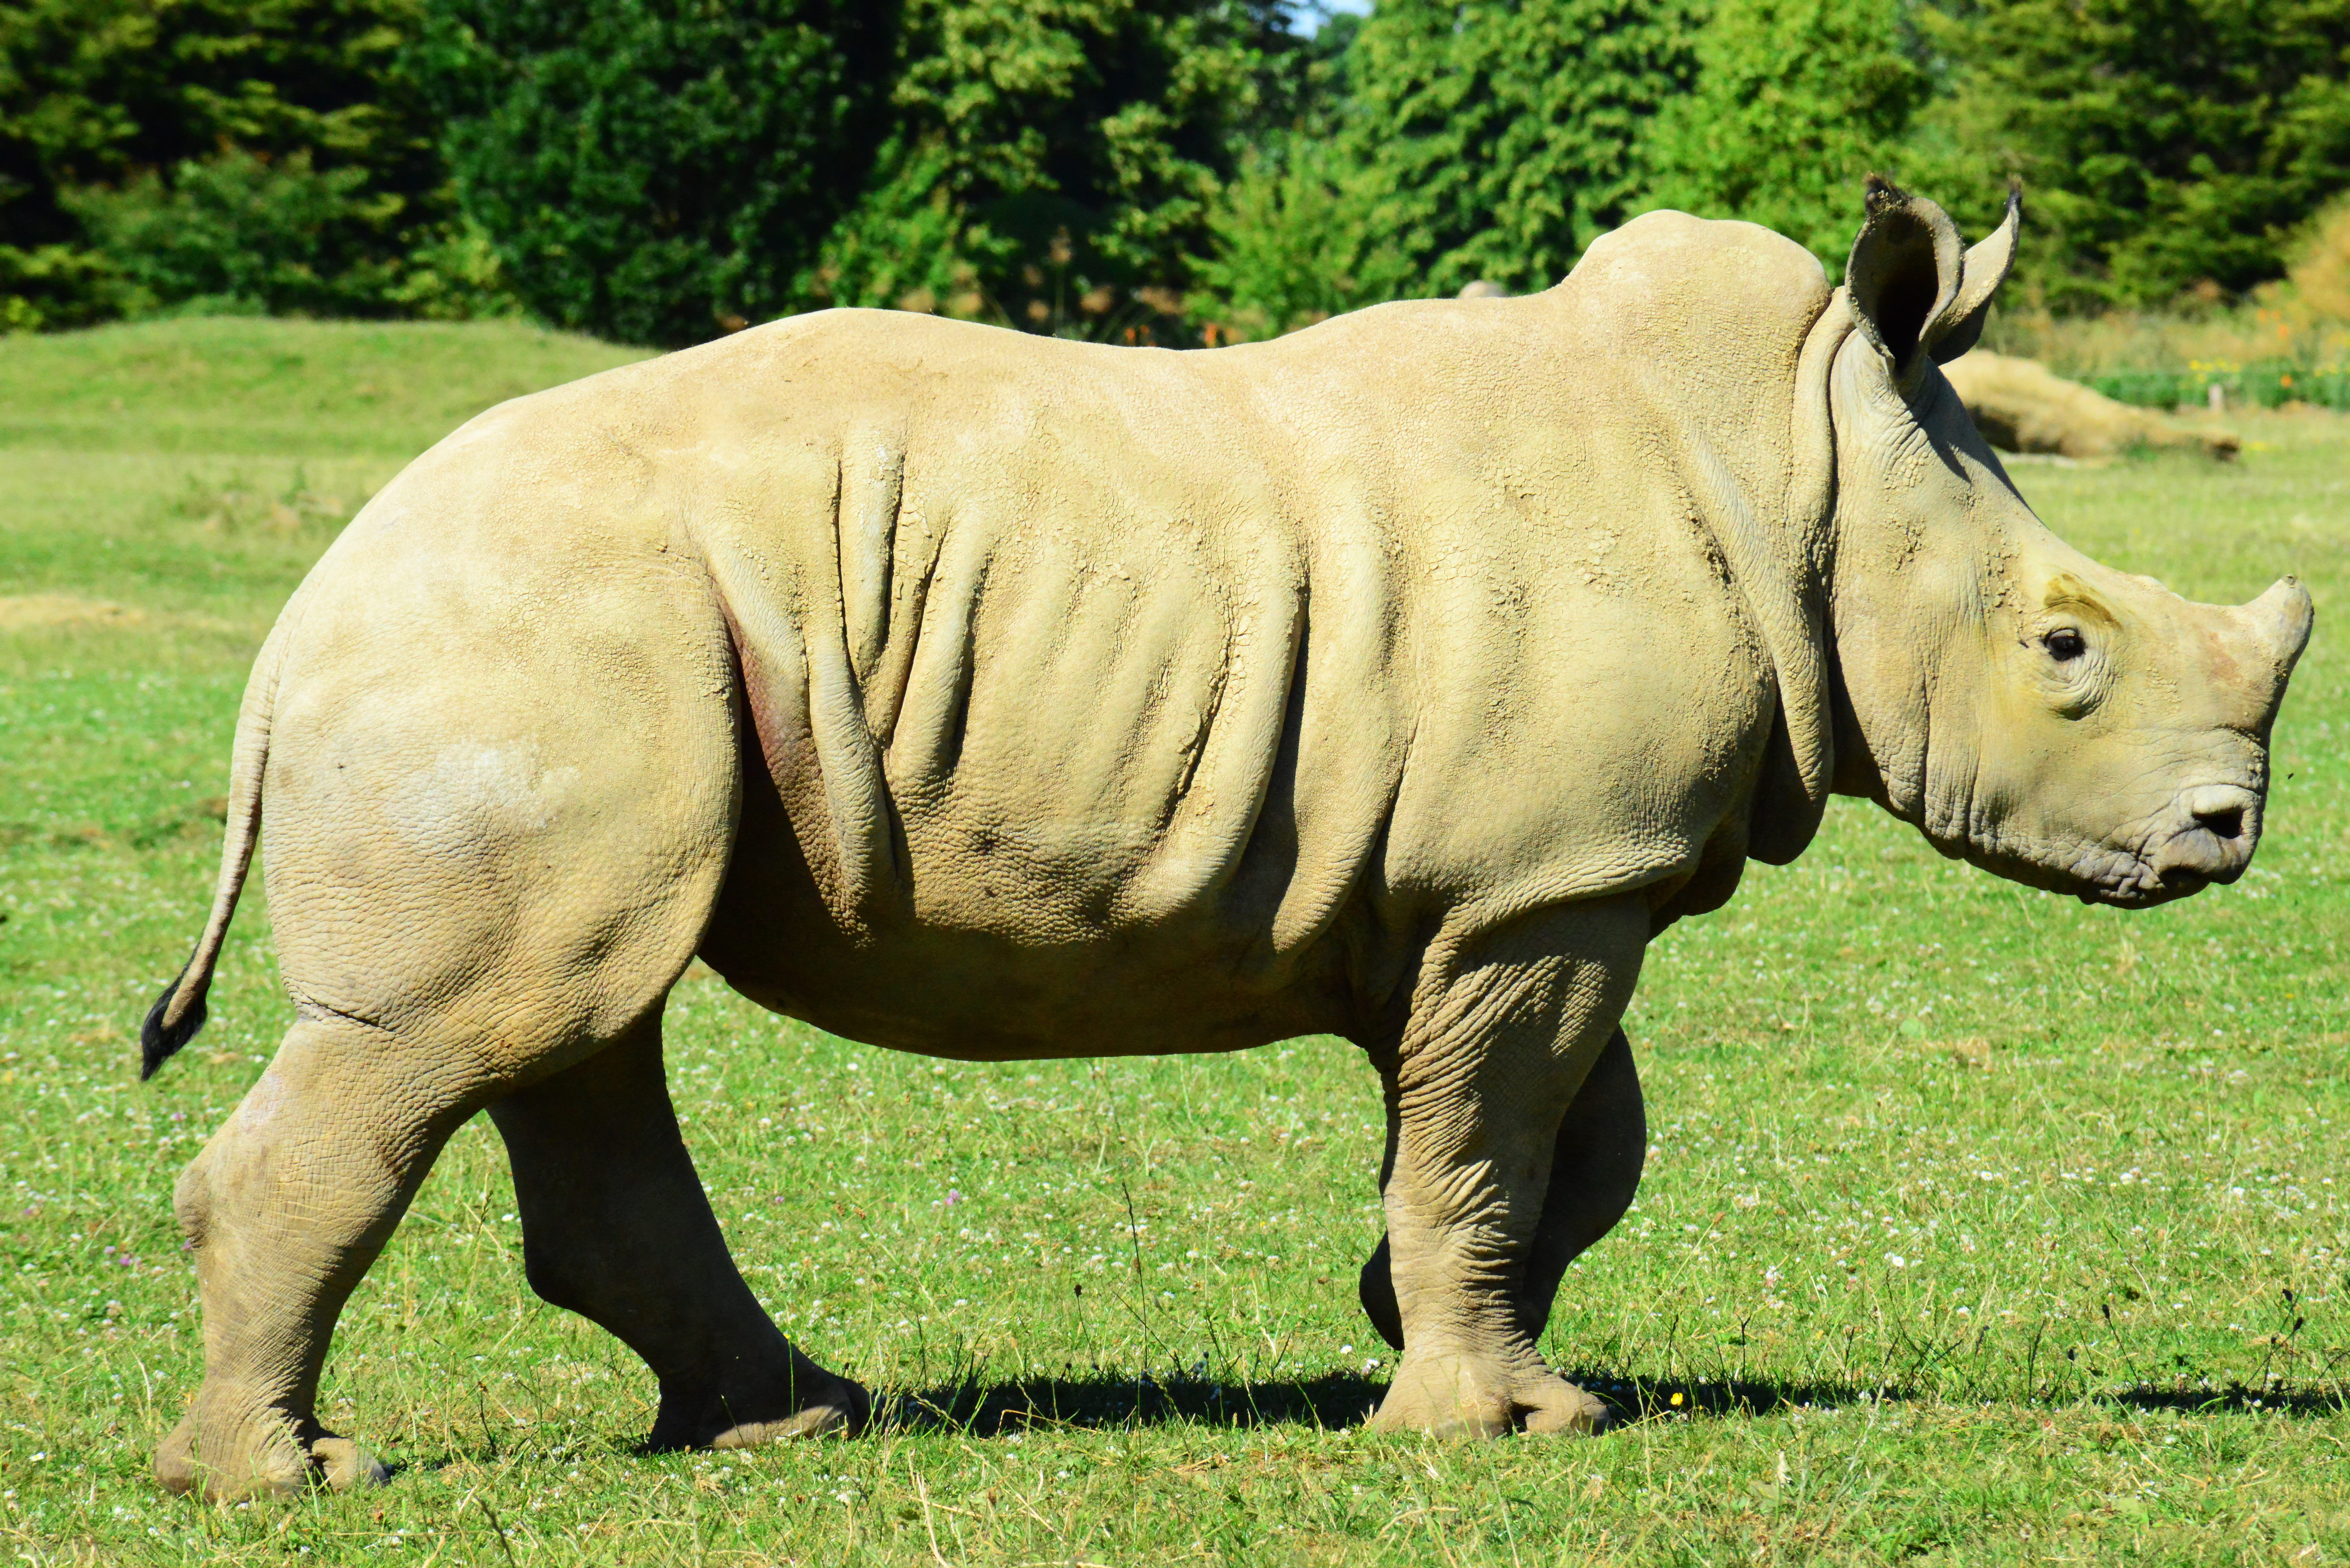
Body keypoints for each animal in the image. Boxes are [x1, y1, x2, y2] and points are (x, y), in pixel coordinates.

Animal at [139, 179, 2310, 1497]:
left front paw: (1397, 1317)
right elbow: (1499, 1130)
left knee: (573, 1023)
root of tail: (298, 623)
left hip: (594, 660)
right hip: (538, 642)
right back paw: (291, 1479)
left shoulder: (1517, 875)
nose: (2225, 833)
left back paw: (790, 1426)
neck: (1796, 459)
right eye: (2064, 649)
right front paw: (1499, 1422)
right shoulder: (1548, 881)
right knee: (471, 1032)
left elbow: (1556, 1142)